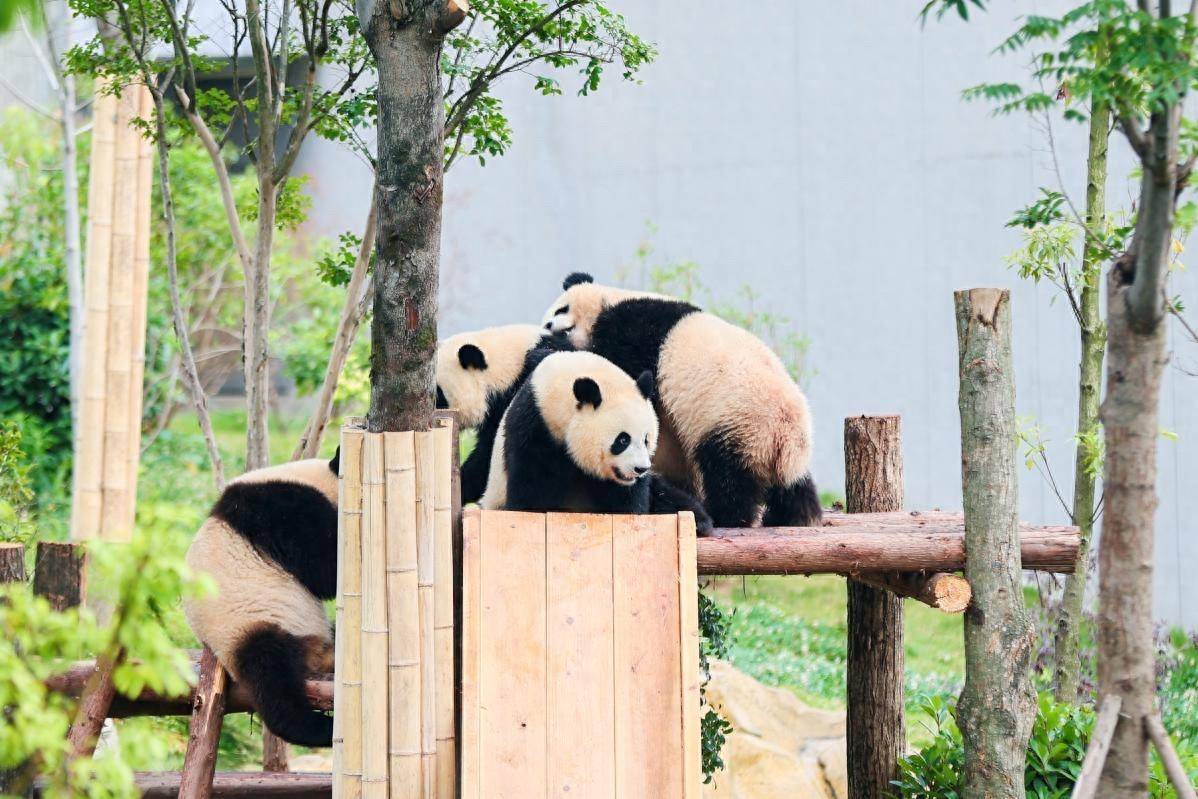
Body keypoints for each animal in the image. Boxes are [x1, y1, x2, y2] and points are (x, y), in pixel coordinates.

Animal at [543, 273, 824, 531]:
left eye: (561, 309)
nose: (549, 325)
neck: (610, 300)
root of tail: (786, 434)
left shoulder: (635, 329)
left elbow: (622, 364)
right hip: (783, 452)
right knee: (793, 487)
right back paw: (794, 516)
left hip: (739, 425)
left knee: (728, 477)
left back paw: (727, 517)